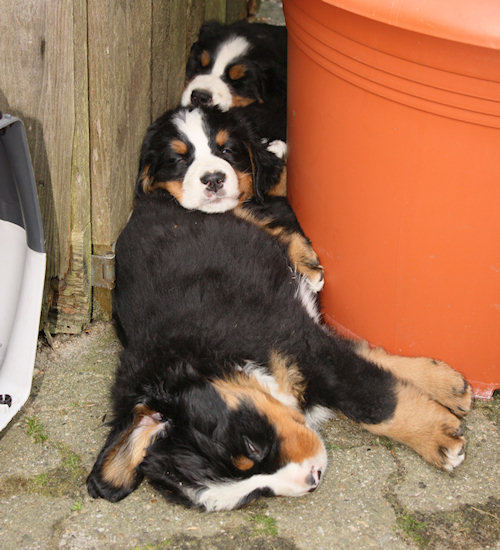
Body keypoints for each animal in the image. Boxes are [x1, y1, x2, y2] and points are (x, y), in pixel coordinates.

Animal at [86, 107, 472, 512]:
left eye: (251, 446)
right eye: (253, 493)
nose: (313, 478)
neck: (208, 356)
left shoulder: (298, 344)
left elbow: (378, 401)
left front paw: (438, 437)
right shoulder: (304, 336)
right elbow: (372, 361)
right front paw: (445, 386)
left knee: (258, 197)